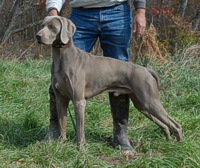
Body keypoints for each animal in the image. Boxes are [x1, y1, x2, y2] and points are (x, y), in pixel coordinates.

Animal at [35, 15, 182, 147]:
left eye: (52, 27)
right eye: (42, 25)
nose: (38, 36)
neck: (61, 58)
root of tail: (146, 69)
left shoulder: (79, 101)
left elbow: (80, 129)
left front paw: (81, 148)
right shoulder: (60, 99)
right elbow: (62, 123)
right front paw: (61, 144)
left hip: (150, 101)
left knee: (176, 124)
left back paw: (179, 144)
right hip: (142, 105)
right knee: (164, 124)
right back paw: (168, 138)